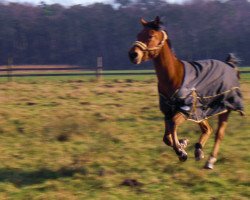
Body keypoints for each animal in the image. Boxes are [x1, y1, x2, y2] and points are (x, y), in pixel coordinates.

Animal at [129, 16, 244, 169]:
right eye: (138, 35)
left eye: (151, 35)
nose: (133, 54)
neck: (174, 76)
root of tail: (230, 65)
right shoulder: (169, 112)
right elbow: (166, 137)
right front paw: (183, 144)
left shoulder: (185, 110)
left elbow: (173, 125)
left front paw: (181, 151)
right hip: (201, 111)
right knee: (207, 129)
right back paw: (198, 150)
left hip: (224, 108)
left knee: (219, 133)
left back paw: (210, 160)